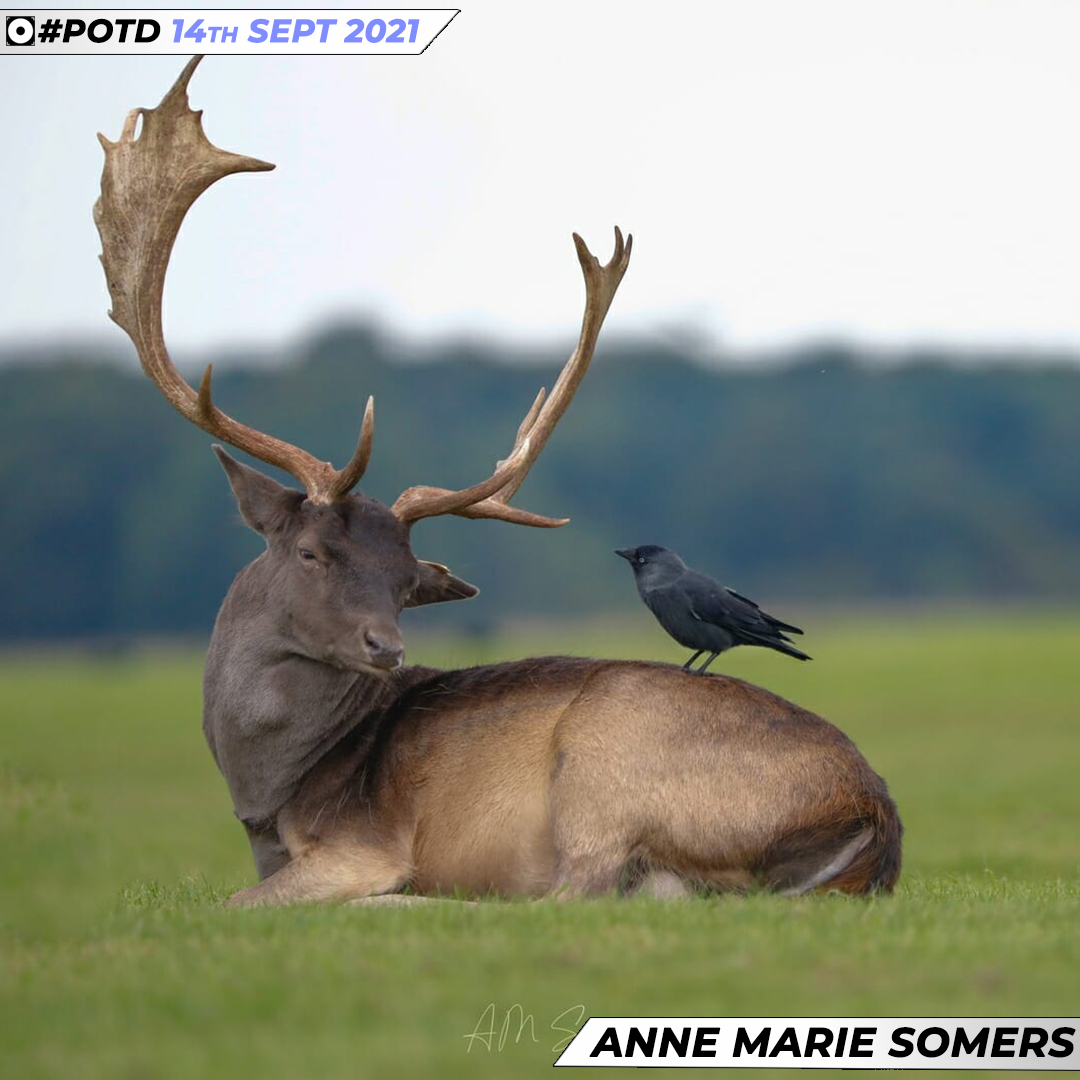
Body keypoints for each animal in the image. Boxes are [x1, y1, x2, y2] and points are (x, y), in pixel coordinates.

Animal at [94, 57, 901, 908]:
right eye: (311, 553)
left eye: (405, 580)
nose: (387, 647)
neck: (264, 799)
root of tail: (875, 813)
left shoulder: (356, 843)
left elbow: (239, 903)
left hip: (604, 759)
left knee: (568, 892)